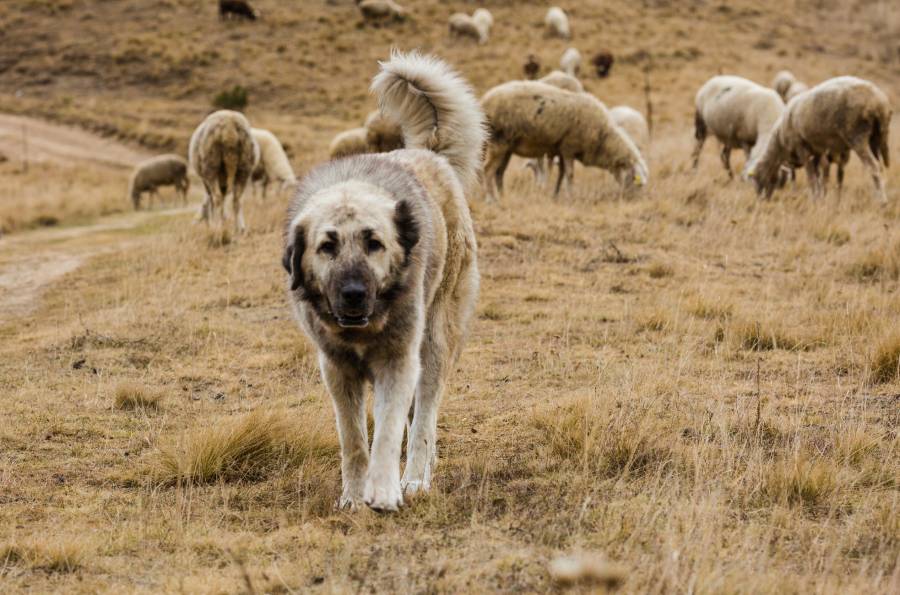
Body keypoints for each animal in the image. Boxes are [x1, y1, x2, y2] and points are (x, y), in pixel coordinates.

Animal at [286, 52, 486, 512]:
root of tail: (428, 154)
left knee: (424, 416)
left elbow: (389, 432)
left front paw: (383, 491)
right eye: (327, 246)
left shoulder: (398, 361)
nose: (354, 295)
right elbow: (355, 441)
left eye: (374, 243)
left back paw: (414, 479)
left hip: (434, 341)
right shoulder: (337, 371)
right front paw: (352, 497)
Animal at [482, 80, 652, 201]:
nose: (633, 199)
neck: (603, 138)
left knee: (499, 172)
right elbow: (569, 175)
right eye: (636, 181)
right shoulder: (569, 148)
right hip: (498, 142)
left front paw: (556, 195)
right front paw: (571, 196)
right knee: (488, 170)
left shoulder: (561, 150)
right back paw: (492, 199)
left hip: (507, 147)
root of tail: (485, 100)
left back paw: (502, 196)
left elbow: (561, 174)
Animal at [744, 77, 892, 204]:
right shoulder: (817, 151)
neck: (780, 142)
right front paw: (820, 198)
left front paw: (814, 200)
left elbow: (811, 177)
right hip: (877, 138)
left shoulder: (802, 148)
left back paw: (882, 201)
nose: (762, 201)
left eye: (757, 180)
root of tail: (879, 102)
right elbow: (818, 176)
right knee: (879, 166)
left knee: (873, 166)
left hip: (857, 136)